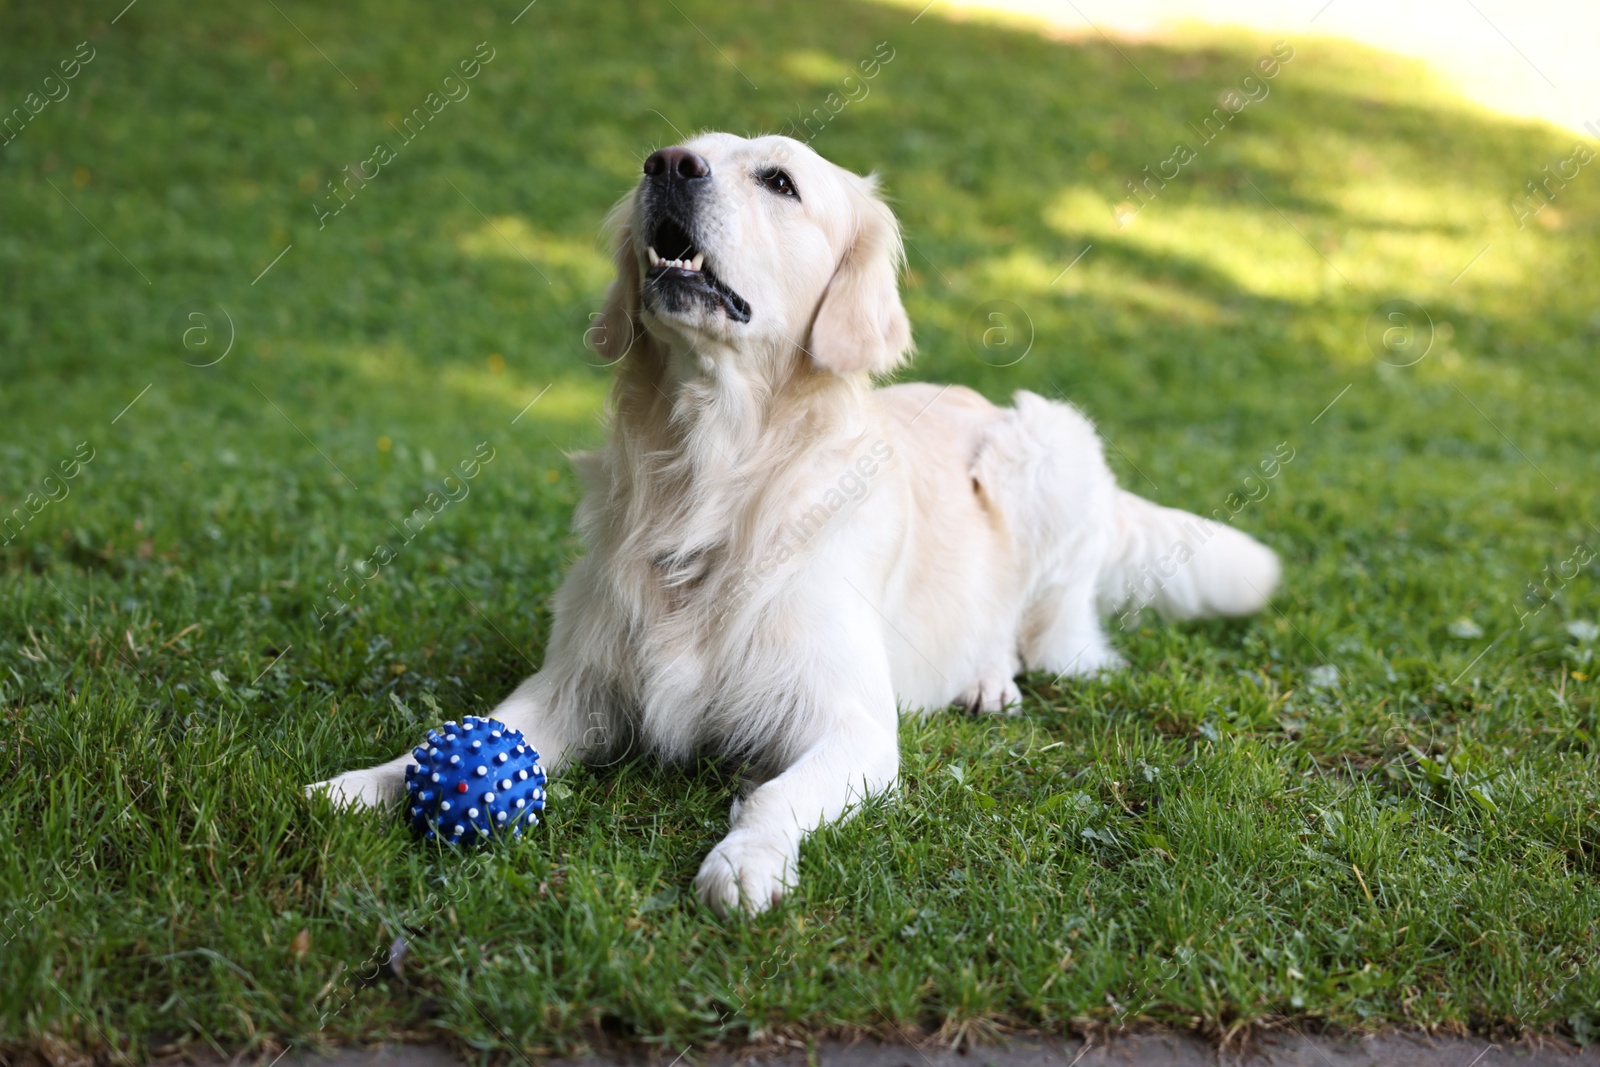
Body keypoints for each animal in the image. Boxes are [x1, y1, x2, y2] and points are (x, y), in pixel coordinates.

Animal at [312, 133, 1280, 921]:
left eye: (780, 181)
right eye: (675, 153)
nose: (666, 166)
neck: (712, 474)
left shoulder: (852, 725)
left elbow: (777, 795)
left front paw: (745, 861)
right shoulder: (571, 685)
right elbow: (461, 735)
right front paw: (362, 783)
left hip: (1049, 444)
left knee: (1034, 632)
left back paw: (989, 680)